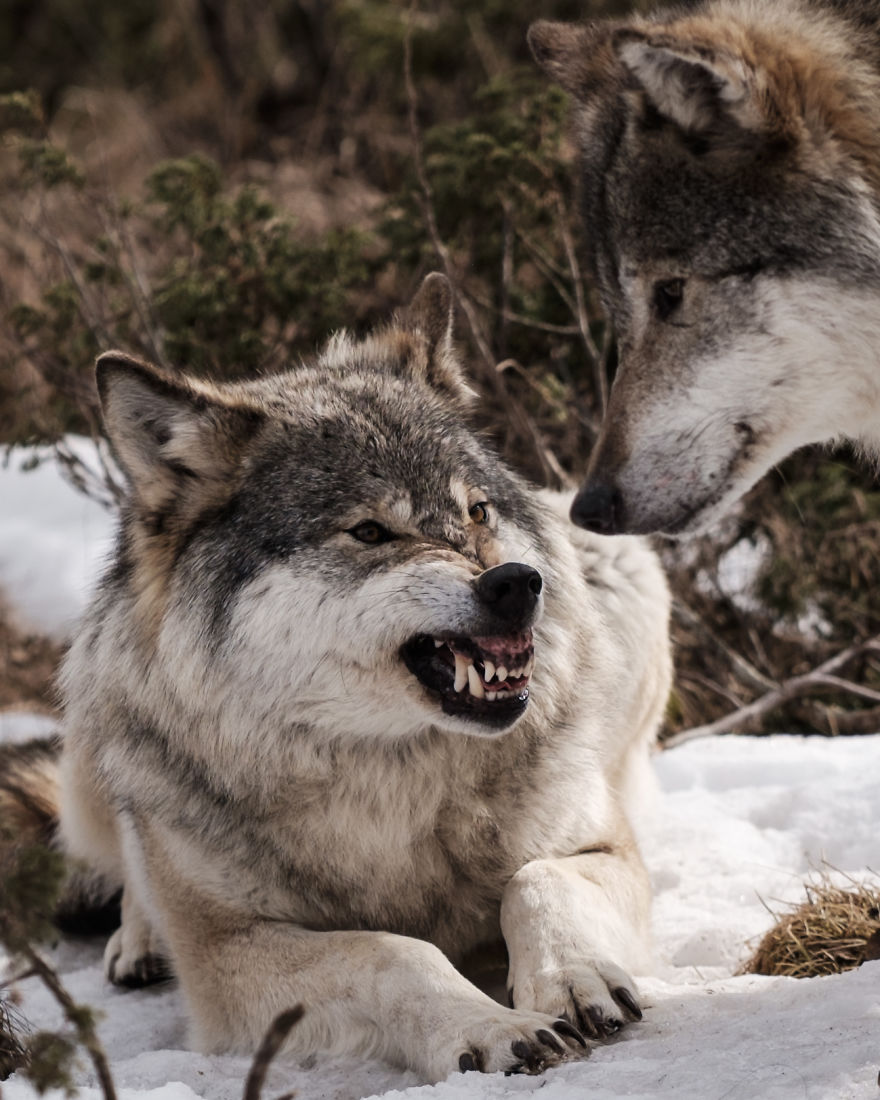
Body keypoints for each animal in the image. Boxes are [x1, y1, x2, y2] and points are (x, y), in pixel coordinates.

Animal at [53, 273, 671, 1081]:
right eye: (371, 532)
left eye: (477, 511)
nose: (516, 582)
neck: (391, 778)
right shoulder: (228, 953)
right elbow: (392, 952)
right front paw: (491, 1025)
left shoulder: (601, 847)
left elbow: (538, 882)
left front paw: (574, 977)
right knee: (128, 859)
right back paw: (138, 938)